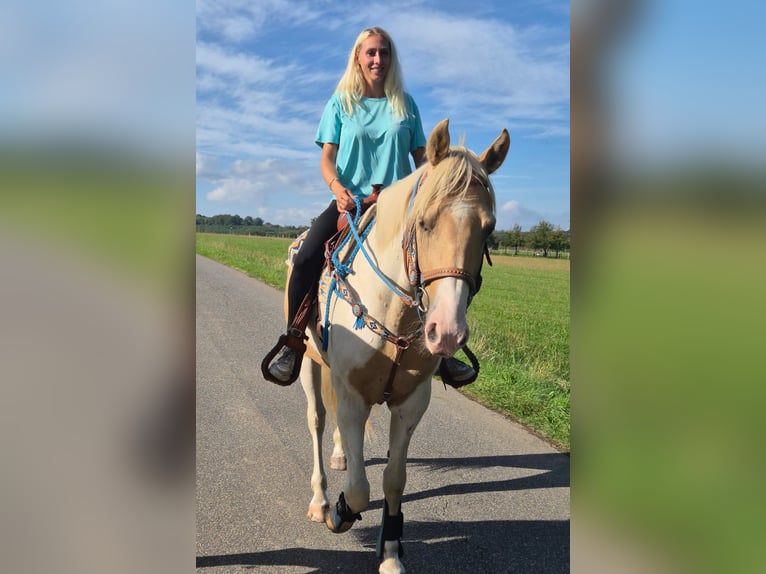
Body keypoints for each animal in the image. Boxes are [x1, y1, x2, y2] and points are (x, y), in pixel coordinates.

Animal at [288, 119, 509, 574]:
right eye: (423, 223)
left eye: (490, 228)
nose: (447, 331)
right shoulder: (353, 396)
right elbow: (358, 490)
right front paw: (340, 513)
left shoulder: (411, 403)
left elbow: (393, 480)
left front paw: (390, 552)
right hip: (309, 366)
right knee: (317, 420)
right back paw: (321, 500)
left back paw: (340, 456)